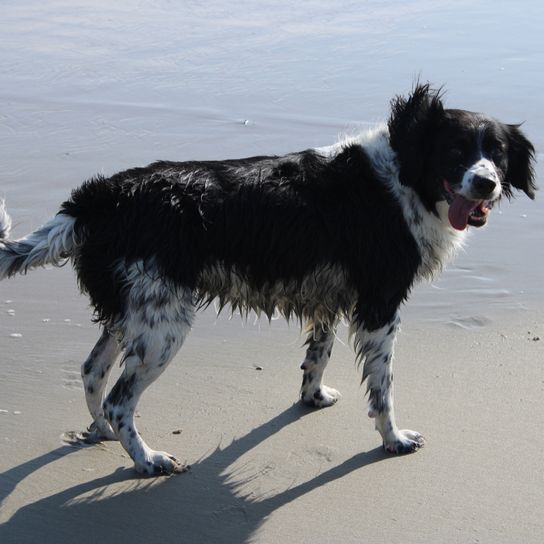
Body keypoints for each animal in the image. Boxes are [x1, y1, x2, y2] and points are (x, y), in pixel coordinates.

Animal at [0, 83, 536, 474]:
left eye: (499, 154)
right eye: (456, 150)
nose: (486, 183)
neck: (404, 177)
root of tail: (103, 195)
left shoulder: (329, 298)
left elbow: (317, 357)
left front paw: (313, 398)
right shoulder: (380, 306)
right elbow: (383, 390)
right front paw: (393, 439)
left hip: (129, 311)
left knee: (92, 372)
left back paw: (102, 436)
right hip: (161, 328)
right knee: (117, 399)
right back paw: (147, 460)